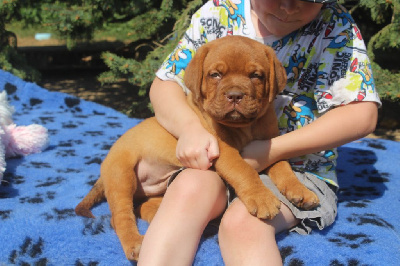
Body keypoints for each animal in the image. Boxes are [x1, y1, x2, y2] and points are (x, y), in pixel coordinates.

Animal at [74, 35, 318, 260]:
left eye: (255, 76)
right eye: (215, 75)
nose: (235, 95)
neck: (245, 126)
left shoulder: (269, 142)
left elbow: (283, 167)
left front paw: (300, 191)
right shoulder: (221, 149)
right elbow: (244, 170)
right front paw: (262, 198)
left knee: (140, 205)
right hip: (121, 175)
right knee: (120, 215)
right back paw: (135, 242)